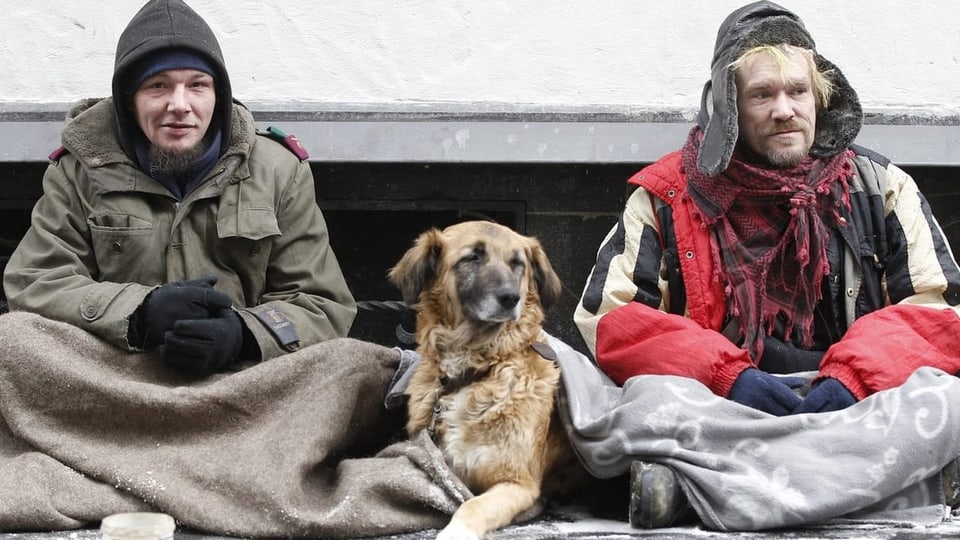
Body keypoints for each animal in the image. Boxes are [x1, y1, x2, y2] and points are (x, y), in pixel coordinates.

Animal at [390, 220, 584, 540]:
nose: (510, 298)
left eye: (517, 263)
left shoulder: (518, 484)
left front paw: (455, 533)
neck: (476, 370)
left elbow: (472, 505)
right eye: (472, 257)